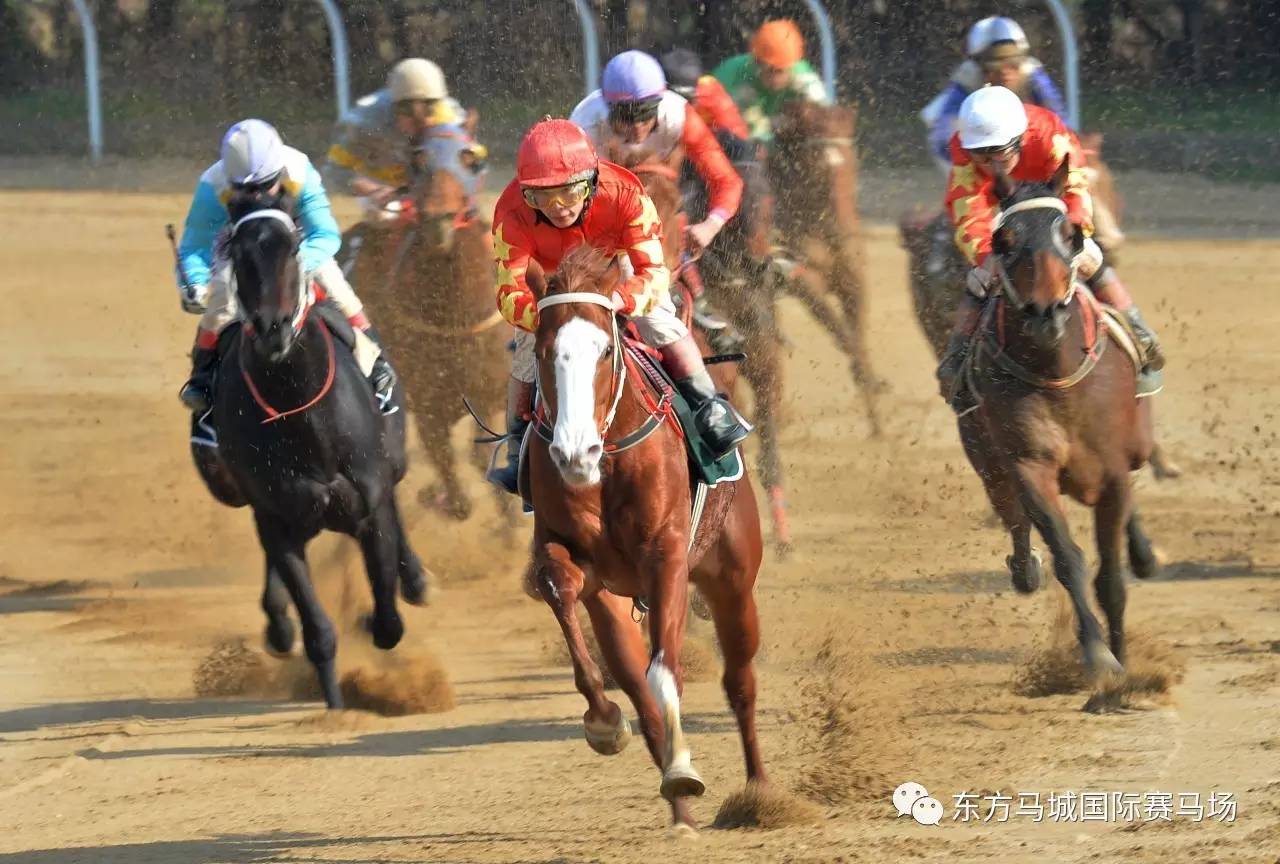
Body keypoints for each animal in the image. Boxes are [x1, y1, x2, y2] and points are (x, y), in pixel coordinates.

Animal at [190, 202, 430, 711]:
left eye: (294, 246)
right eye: (236, 251)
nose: (272, 328)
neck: (301, 410)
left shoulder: (366, 502)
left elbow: (388, 618)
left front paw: (378, 613)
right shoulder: (277, 513)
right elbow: (317, 628)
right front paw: (334, 703)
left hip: (391, 459)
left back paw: (416, 579)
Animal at [340, 128, 509, 519]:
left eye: (468, 157)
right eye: (417, 160)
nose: (438, 219)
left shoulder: (492, 394)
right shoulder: (427, 408)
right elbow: (458, 494)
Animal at [524, 247, 762, 834]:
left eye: (606, 349)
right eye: (542, 351)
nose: (574, 452)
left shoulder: (667, 555)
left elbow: (665, 670)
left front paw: (684, 767)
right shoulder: (567, 555)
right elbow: (561, 588)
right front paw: (604, 722)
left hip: (733, 581)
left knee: (740, 682)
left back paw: (760, 793)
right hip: (615, 603)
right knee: (638, 688)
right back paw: (681, 813)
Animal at [762, 103, 885, 440]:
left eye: (851, 162)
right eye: (816, 165)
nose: (840, 226)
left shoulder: (854, 281)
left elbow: (856, 336)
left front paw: (877, 422)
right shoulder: (803, 280)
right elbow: (841, 333)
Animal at [957, 158, 1167, 680]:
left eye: (1070, 234)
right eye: (1003, 240)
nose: (1045, 314)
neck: (1056, 371)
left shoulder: (1112, 470)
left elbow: (1110, 574)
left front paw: (1124, 663)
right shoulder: (1029, 465)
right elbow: (1067, 558)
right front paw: (1097, 653)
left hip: (1134, 445)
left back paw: (1144, 554)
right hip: (986, 459)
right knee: (1012, 517)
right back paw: (1024, 568)